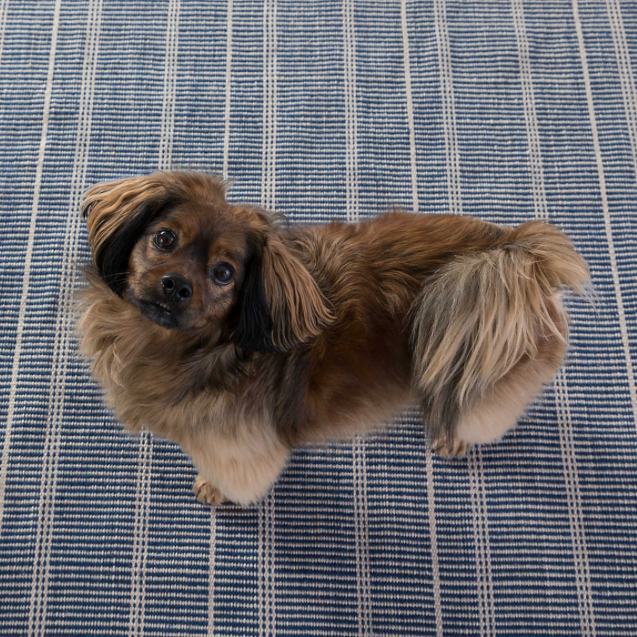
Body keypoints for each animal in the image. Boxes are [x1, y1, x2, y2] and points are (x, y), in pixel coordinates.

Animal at [77, 171, 589, 506]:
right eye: (164, 239)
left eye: (224, 273)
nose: (176, 285)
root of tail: (519, 253)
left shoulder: (240, 449)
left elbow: (234, 476)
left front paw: (214, 490)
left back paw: (453, 438)